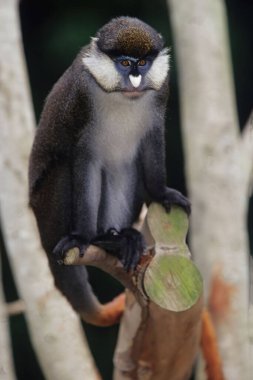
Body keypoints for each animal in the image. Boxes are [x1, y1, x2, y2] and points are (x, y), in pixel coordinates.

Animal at [28, 17, 190, 326]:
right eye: (125, 63)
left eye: (143, 62)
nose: (136, 79)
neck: (121, 97)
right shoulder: (81, 99)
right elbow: (84, 162)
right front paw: (83, 238)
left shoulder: (160, 94)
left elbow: (151, 146)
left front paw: (161, 193)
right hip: (47, 211)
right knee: (64, 167)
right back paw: (99, 240)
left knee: (124, 168)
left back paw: (116, 239)